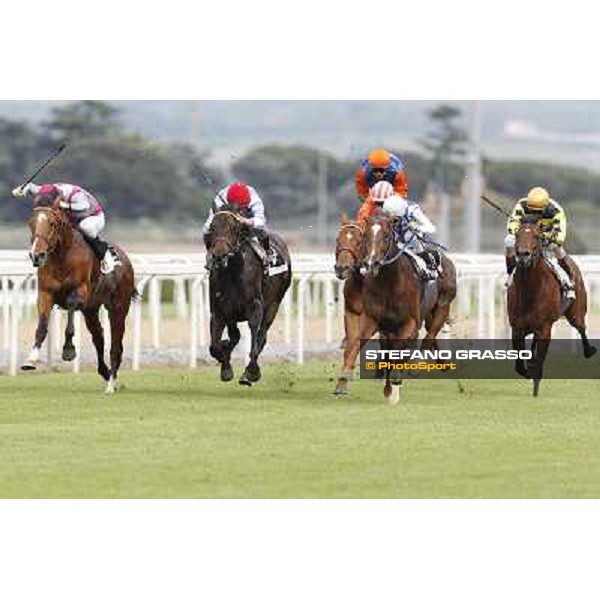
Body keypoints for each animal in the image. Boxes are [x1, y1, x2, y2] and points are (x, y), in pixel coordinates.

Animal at [22, 206, 137, 394]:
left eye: (52, 224)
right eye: (31, 223)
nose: (37, 255)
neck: (62, 257)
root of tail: (126, 259)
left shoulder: (80, 292)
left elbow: (70, 311)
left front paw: (68, 350)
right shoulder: (45, 294)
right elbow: (41, 327)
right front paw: (31, 359)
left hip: (118, 307)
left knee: (116, 346)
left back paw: (111, 384)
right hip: (91, 310)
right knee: (99, 337)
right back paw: (105, 372)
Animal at [205, 206, 292, 384]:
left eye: (234, 228)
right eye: (212, 227)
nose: (219, 255)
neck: (232, 272)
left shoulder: (255, 306)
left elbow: (254, 335)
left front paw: (251, 372)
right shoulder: (219, 310)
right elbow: (215, 346)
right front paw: (226, 367)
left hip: (274, 304)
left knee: (262, 335)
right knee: (236, 336)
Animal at [336, 211, 458, 404]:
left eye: (386, 235)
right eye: (366, 237)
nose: (372, 263)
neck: (390, 283)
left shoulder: (409, 322)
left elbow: (400, 349)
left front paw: (395, 381)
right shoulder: (369, 318)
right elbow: (355, 343)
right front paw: (344, 381)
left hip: (442, 306)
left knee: (429, 336)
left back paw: (418, 365)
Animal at [506, 218, 596, 396]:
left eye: (537, 236)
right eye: (517, 234)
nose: (523, 255)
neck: (529, 291)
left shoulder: (545, 328)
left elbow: (539, 362)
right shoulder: (517, 328)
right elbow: (519, 365)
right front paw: (528, 368)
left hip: (576, 313)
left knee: (581, 328)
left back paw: (589, 350)